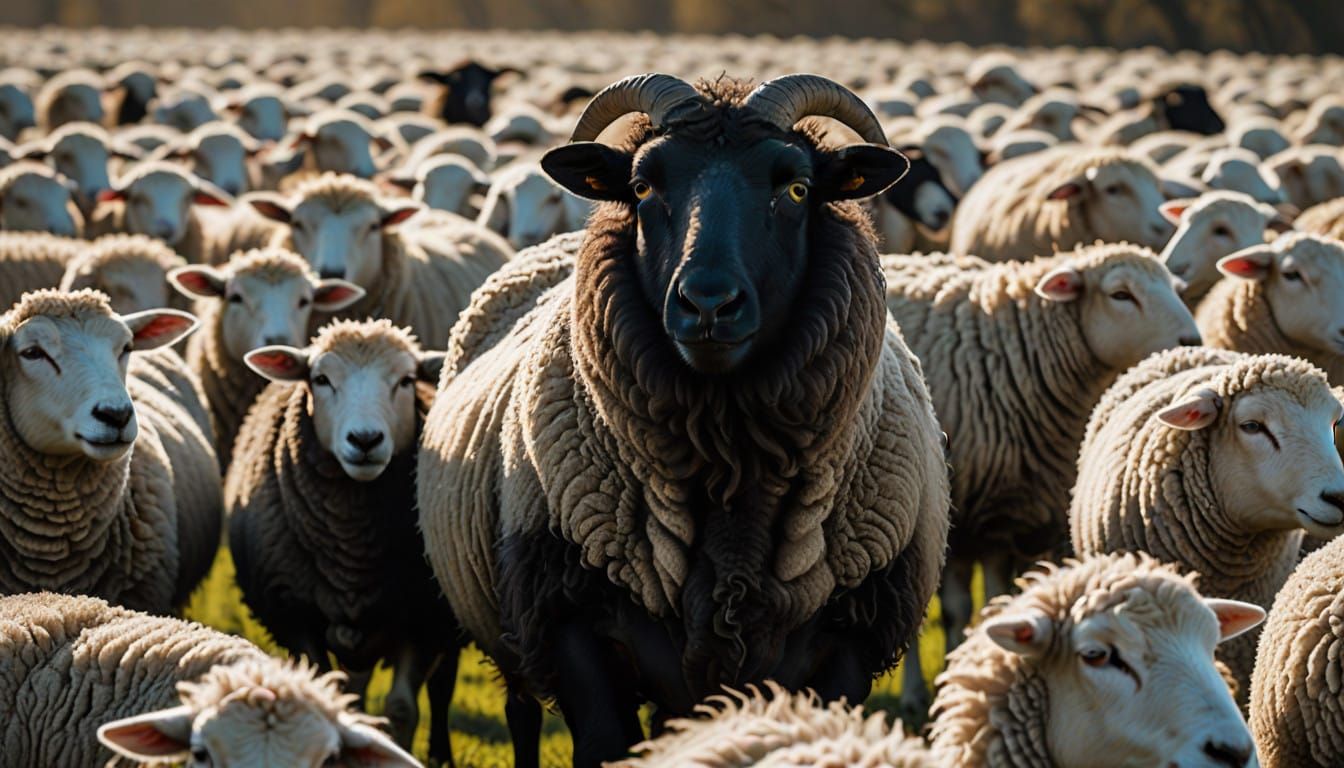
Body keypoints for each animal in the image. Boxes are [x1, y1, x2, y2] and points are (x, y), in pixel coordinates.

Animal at [227, 319, 456, 761]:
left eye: (405, 380)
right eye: (320, 379)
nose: (365, 440)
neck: (352, 550)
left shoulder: (422, 617)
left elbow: (402, 709)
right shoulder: (295, 614)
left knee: (442, 688)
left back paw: (440, 753)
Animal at [418, 73, 950, 767]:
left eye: (796, 188)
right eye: (644, 187)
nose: (708, 302)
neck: (729, 467)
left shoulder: (847, 643)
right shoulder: (571, 625)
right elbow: (603, 743)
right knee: (522, 712)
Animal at [881, 243, 1199, 714]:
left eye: (1175, 288)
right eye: (1121, 294)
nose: (1193, 340)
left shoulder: (1018, 515)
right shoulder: (984, 517)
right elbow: (968, 606)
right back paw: (912, 693)